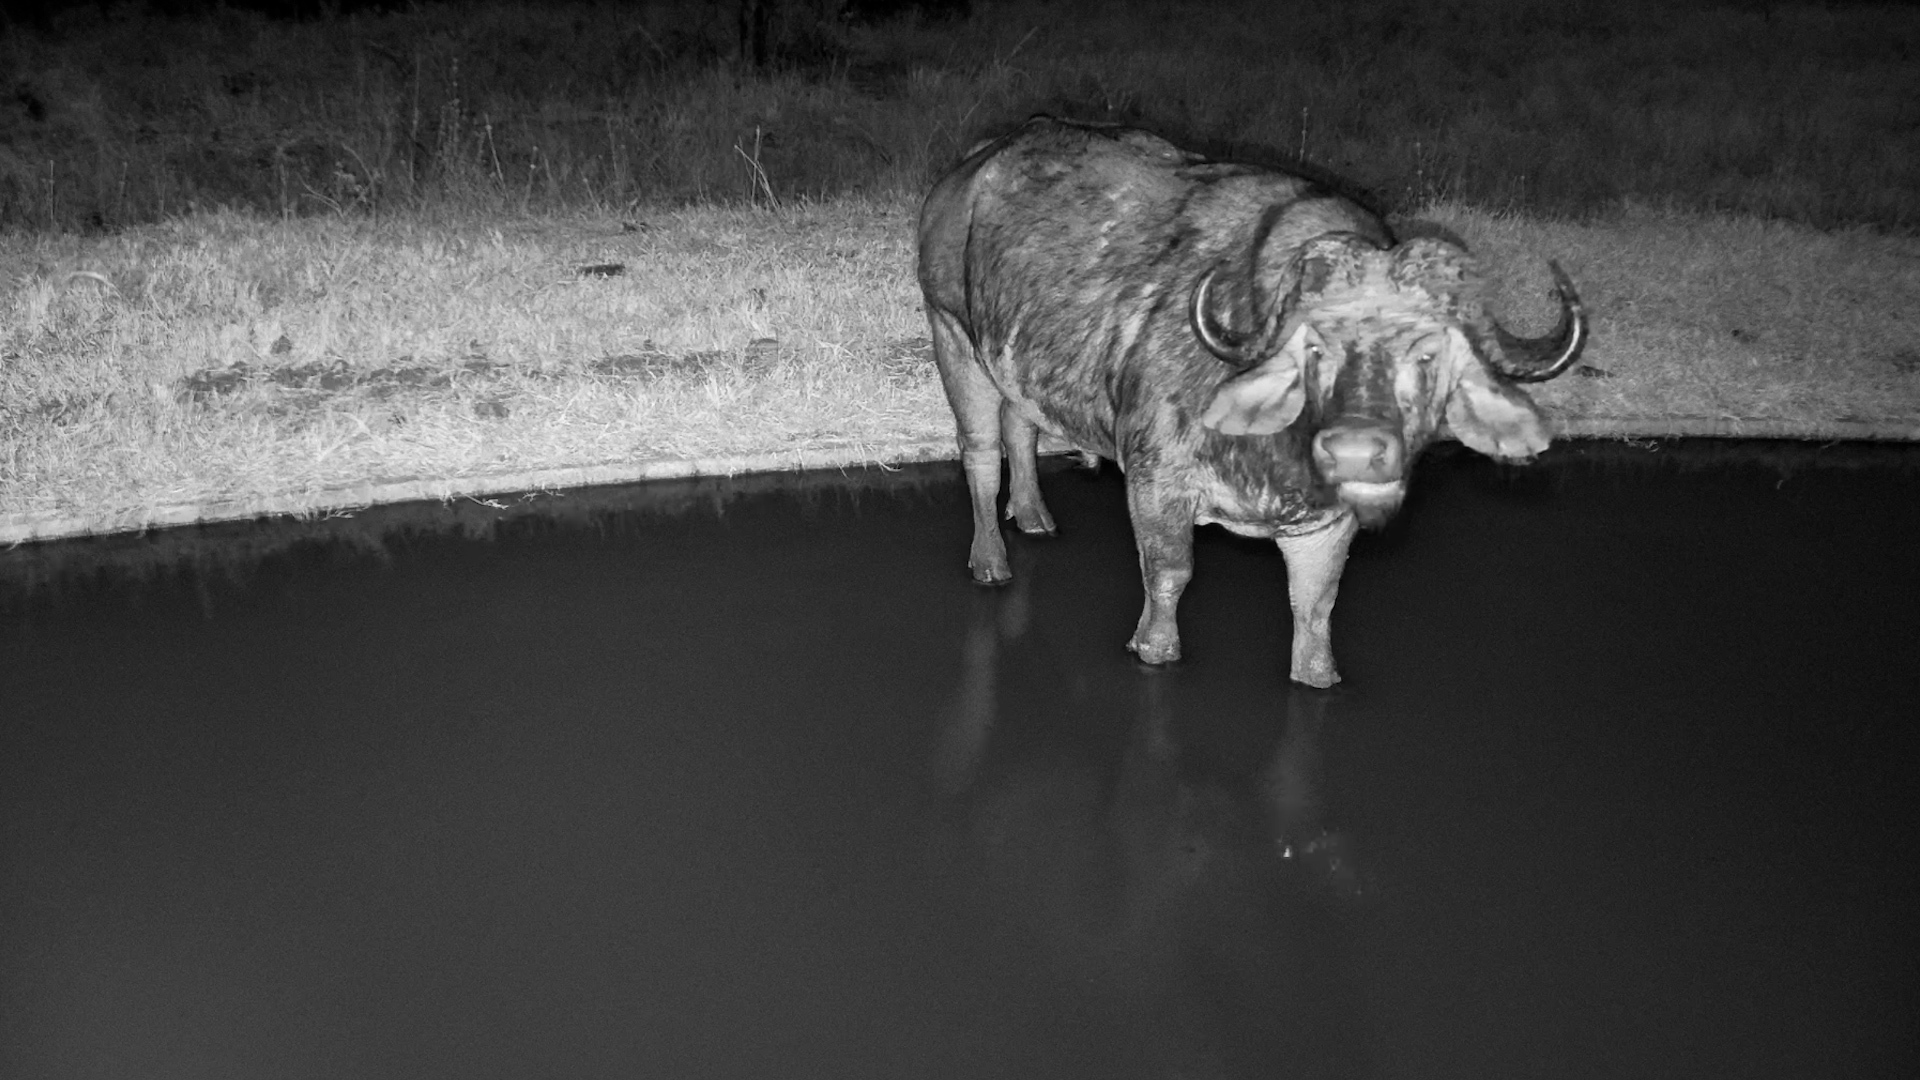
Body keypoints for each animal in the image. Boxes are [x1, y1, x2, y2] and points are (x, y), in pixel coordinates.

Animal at [917, 116, 1586, 686]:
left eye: (1428, 356)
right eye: (1314, 345)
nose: (1361, 449)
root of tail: (967, 172)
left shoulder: (1328, 523)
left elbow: (1317, 605)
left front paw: (1317, 673)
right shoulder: (1157, 480)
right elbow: (1169, 573)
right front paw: (1153, 648)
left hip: (1014, 359)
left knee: (1021, 423)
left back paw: (1033, 515)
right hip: (954, 336)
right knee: (981, 453)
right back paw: (991, 560)